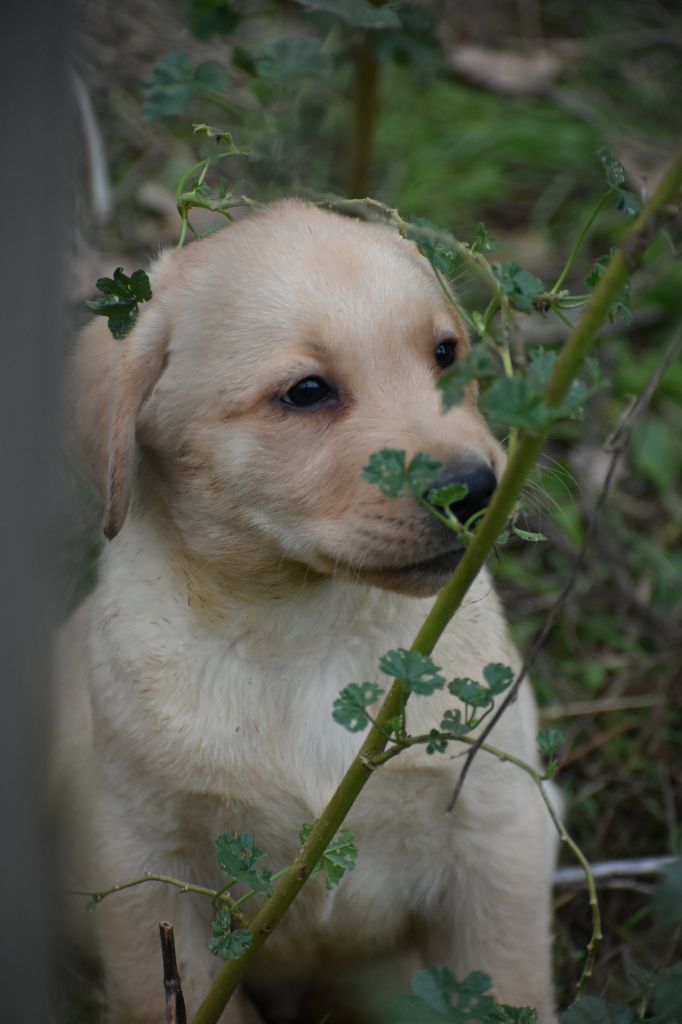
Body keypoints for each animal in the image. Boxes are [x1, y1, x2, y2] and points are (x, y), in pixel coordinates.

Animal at [57, 199, 557, 1024]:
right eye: (307, 392)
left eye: (445, 354)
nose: (477, 490)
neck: (308, 630)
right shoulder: (147, 875)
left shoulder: (496, 837)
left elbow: (507, 988)